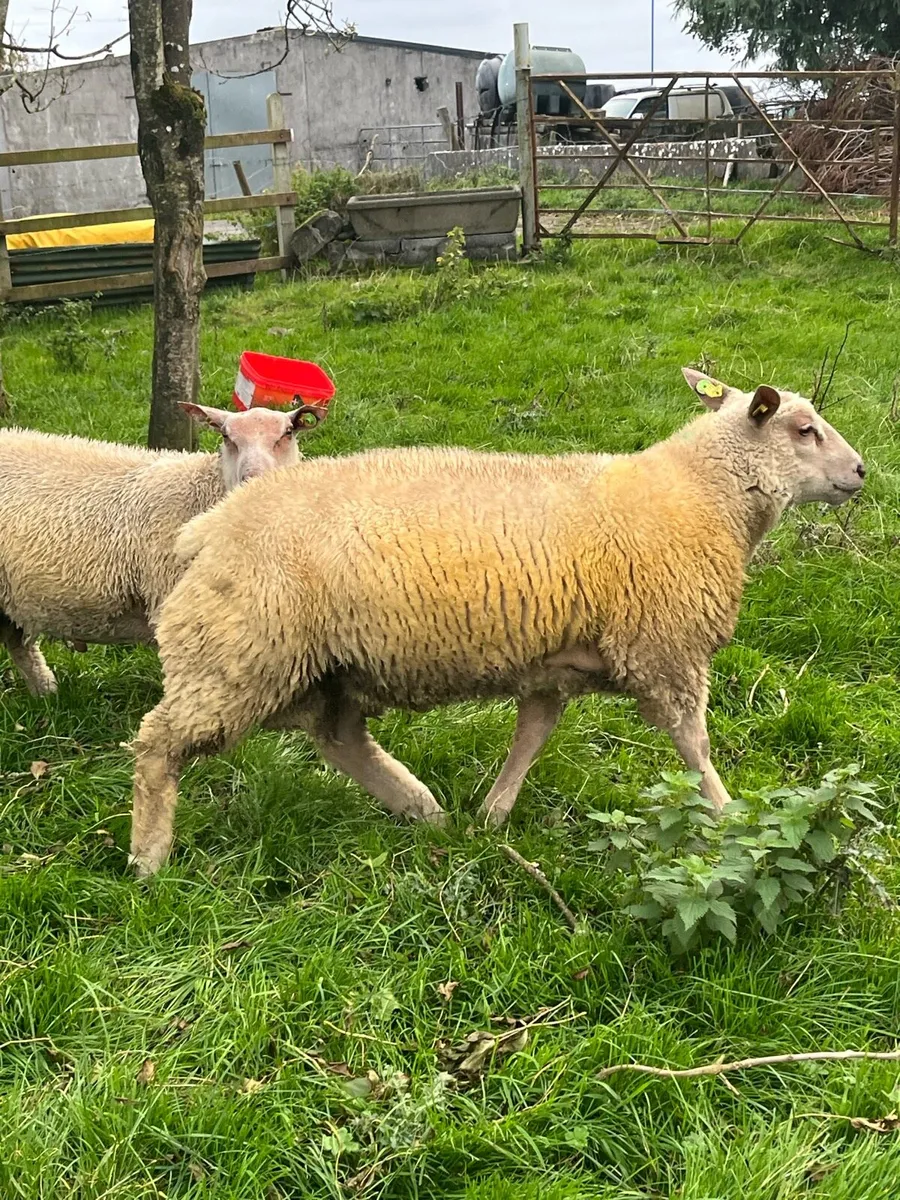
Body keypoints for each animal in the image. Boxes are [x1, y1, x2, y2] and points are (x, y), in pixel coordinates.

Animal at [128, 370, 865, 876]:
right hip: (239, 652)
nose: (862, 470)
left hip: (312, 664)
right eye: (804, 428)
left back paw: (424, 811)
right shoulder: (667, 648)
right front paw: (728, 817)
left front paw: (493, 816)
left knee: (339, 739)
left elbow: (530, 740)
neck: (700, 496)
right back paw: (148, 861)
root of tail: (209, 528)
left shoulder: (554, 665)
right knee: (159, 744)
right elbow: (695, 746)